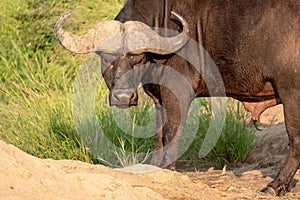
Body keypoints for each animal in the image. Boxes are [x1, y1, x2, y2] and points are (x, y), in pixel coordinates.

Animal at [54, 0, 300, 195]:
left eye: (138, 58)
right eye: (106, 57)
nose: (123, 97)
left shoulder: (176, 91)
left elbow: (172, 131)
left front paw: (168, 169)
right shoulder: (158, 97)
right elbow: (158, 134)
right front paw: (154, 168)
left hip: (291, 94)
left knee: (295, 140)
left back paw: (275, 185)